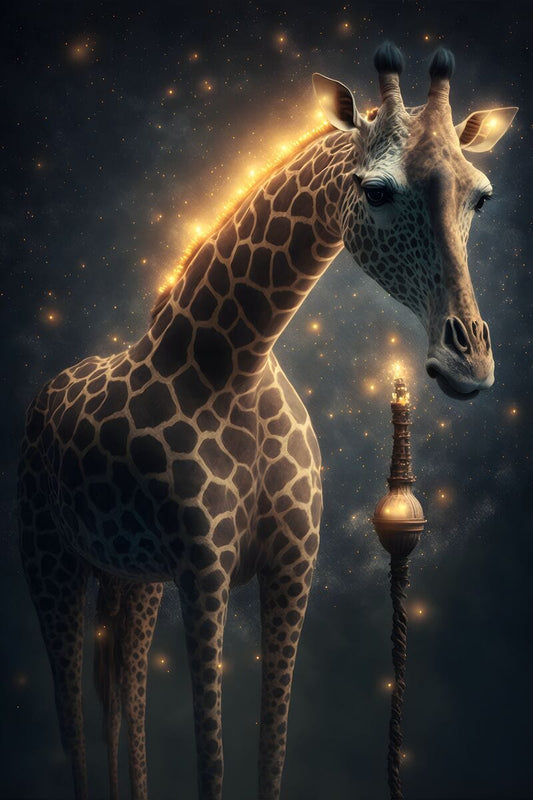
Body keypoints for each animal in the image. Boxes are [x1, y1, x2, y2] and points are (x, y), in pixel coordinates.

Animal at [17, 43, 517, 800]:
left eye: (480, 196)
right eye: (376, 191)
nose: (469, 362)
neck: (240, 359)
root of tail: (45, 393)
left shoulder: (290, 569)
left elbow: (269, 750)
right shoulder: (204, 572)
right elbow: (212, 759)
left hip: (130, 576)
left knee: (122, 698)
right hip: (50, 557)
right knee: (70, 709)